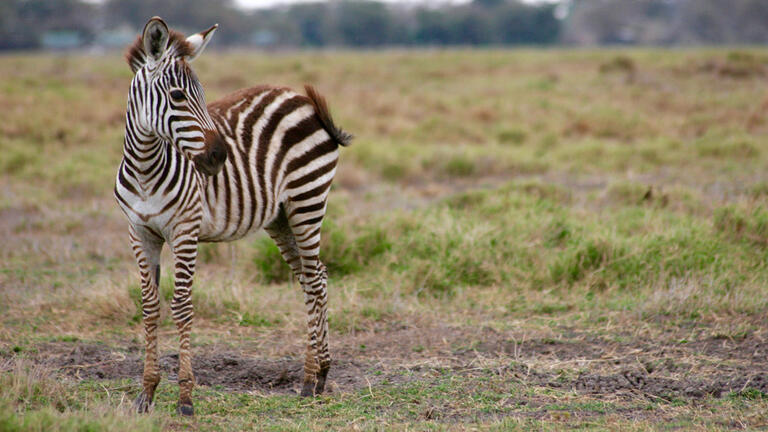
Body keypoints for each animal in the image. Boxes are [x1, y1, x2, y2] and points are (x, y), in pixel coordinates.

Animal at [113, 16, 352, 416]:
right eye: (178, 96)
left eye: (203, 94)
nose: (218, 157)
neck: (146, 169)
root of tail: (301, 98)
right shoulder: (139, 233)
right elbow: (149, 307)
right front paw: (146, 394)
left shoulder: (186, 231)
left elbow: (182, 307)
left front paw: (185, 398)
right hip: (281, 218)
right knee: (313, 276)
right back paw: (319, 374)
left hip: (307, 199)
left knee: (316, 280)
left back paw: (310, 379)